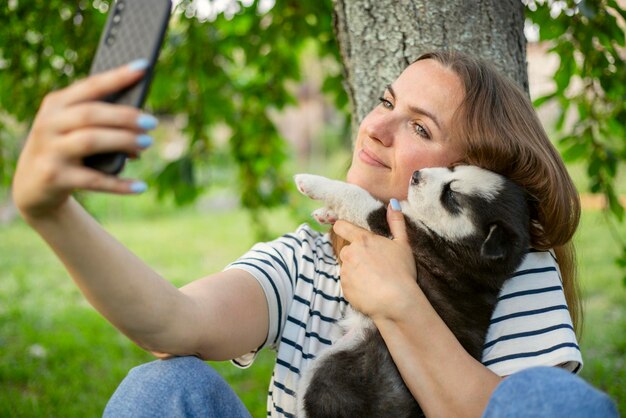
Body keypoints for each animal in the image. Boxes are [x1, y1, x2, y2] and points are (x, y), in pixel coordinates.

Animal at [294, 166, 528, 418]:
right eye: (453, 168)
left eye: (451, 195)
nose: (416, 174)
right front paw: (327, 214)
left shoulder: (399, 230)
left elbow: (357, 195)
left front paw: (309, 182)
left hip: (334, 372)